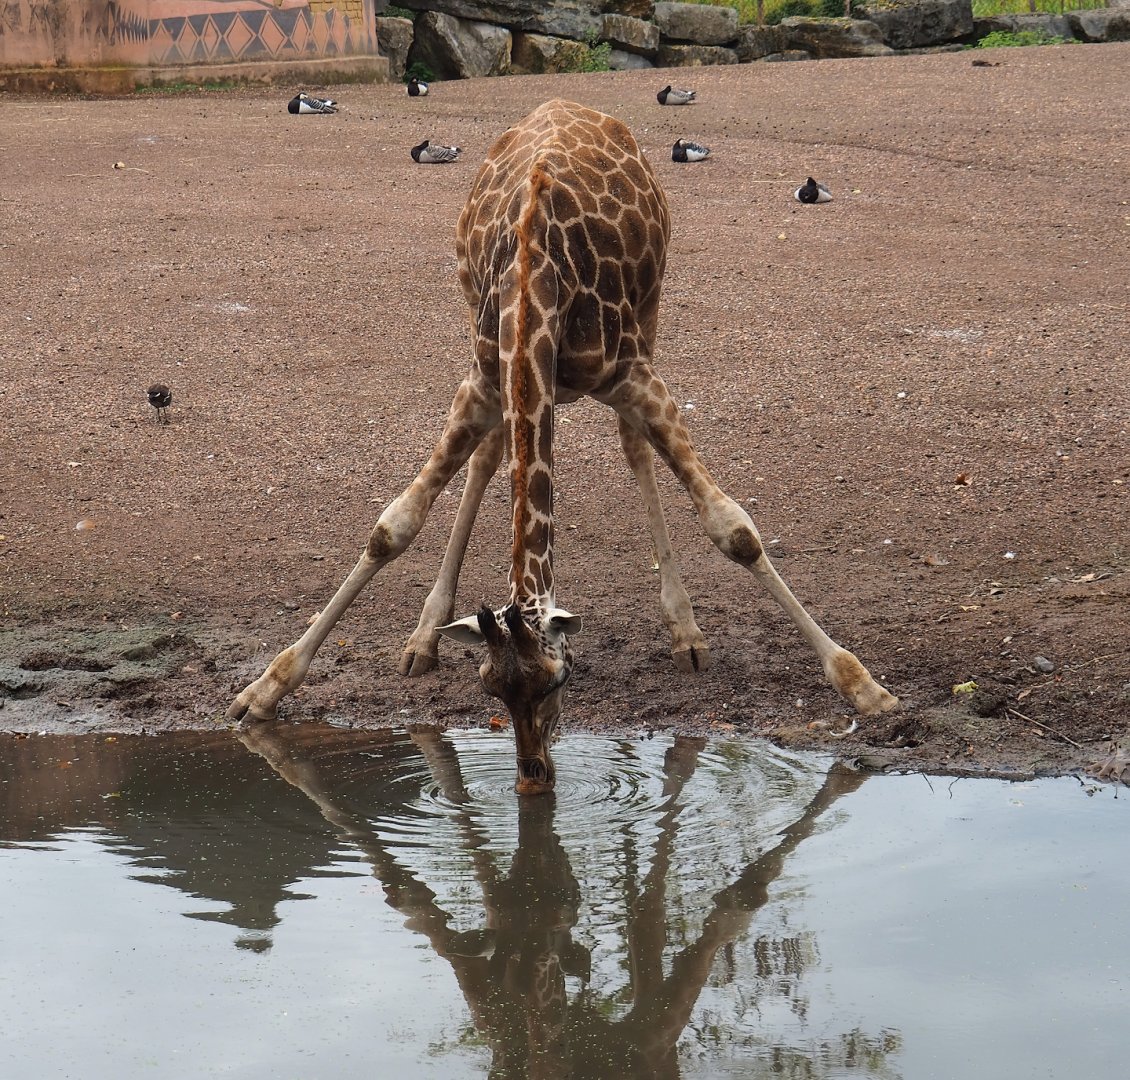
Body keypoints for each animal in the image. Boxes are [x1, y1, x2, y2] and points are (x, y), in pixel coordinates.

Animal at [227, 99, 898, 793]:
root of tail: (568, 105)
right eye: (491, 689)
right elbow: (393, 527)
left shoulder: (630, 374)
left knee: (630, 445)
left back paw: (685, 633)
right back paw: (424, 636)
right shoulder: (485, 377)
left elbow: (734, 529)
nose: (532, 780)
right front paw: (263, 690)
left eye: (559, 680)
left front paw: (865, 688)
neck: (538, 284)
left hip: (650, 310)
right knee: (493, 456)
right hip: (486, 334)